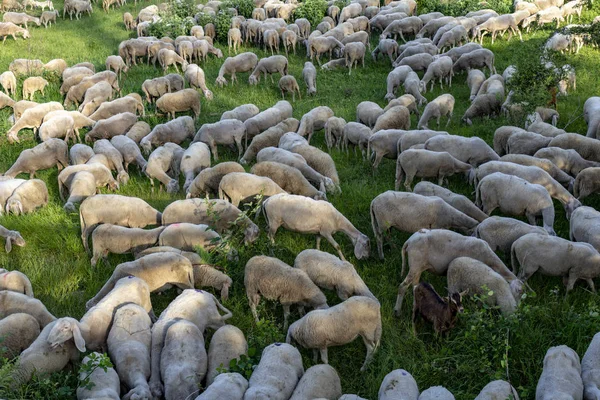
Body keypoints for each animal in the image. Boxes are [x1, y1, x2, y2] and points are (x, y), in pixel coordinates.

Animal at [396, 228, 524, 316]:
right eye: (518, 291)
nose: (517, 308)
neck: (491, 259)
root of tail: (409, 241)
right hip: (415, 265)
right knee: (403, 286)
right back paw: (397, 311)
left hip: (419, 267)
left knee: (414, 285)